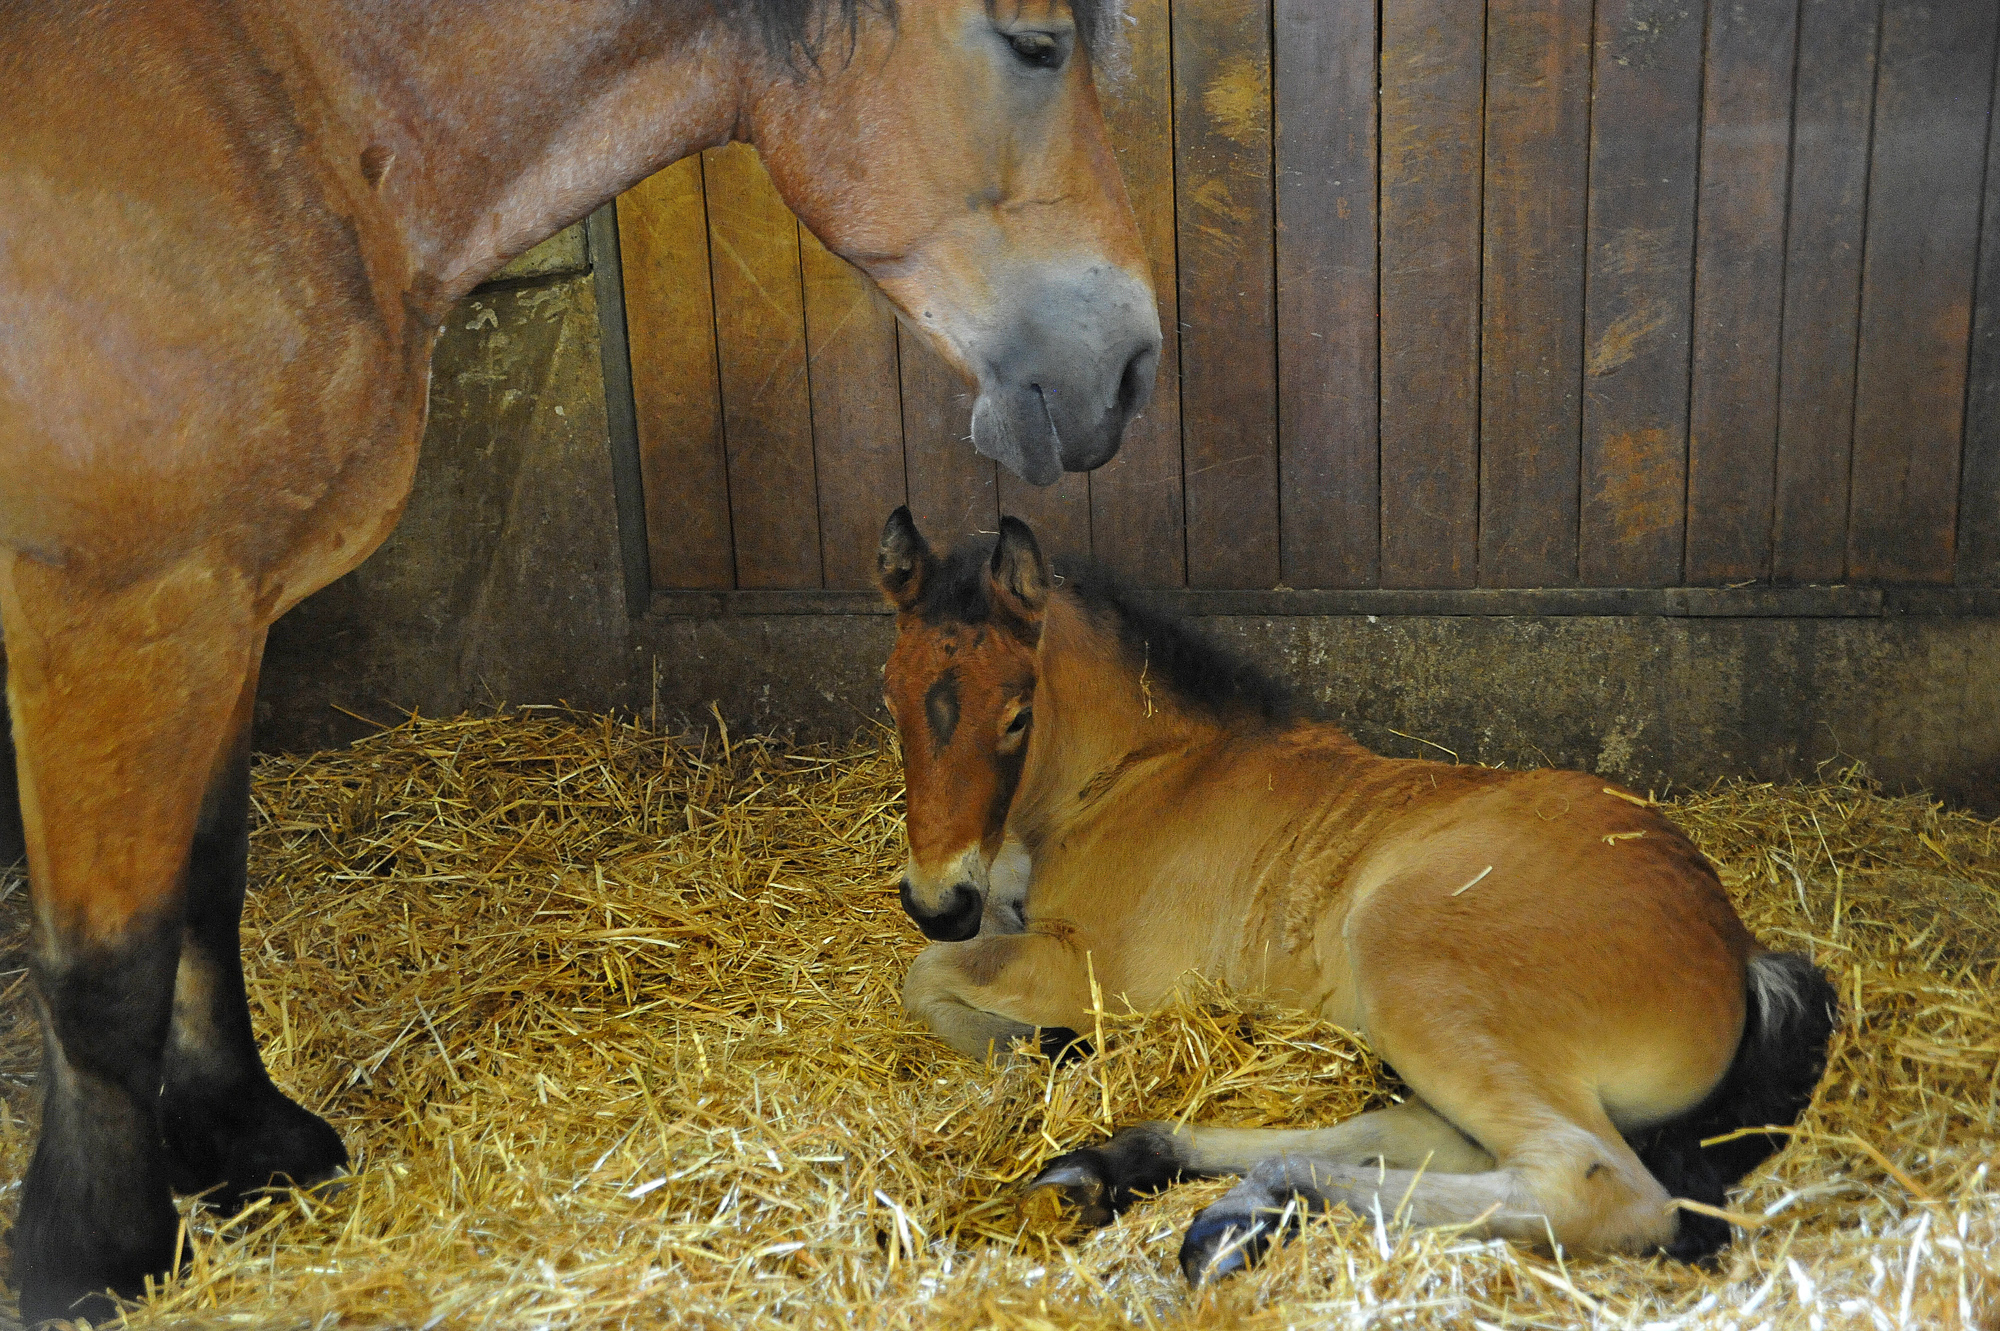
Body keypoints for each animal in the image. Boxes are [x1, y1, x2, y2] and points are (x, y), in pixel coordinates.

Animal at [0, 1, 1158, 1317]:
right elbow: (108, 962)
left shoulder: (225, 607)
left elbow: (204, 882)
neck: (285, 118)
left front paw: (248, 1139)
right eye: (1033, 43)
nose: (1131, 364)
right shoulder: (123, 614)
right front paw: (96, 1251)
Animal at [872, 508, 1838, 1282]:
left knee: (1589, 1183)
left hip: (1410, 961)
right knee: (1439, 1138)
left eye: (1016, 715)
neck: (1138, 773)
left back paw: (1221, 1204)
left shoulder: (1100, 971)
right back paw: (1154, 1177)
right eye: (890, 698)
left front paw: (1041, 1049)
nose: (935, 899)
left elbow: (927, 976)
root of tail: (1738, 952)